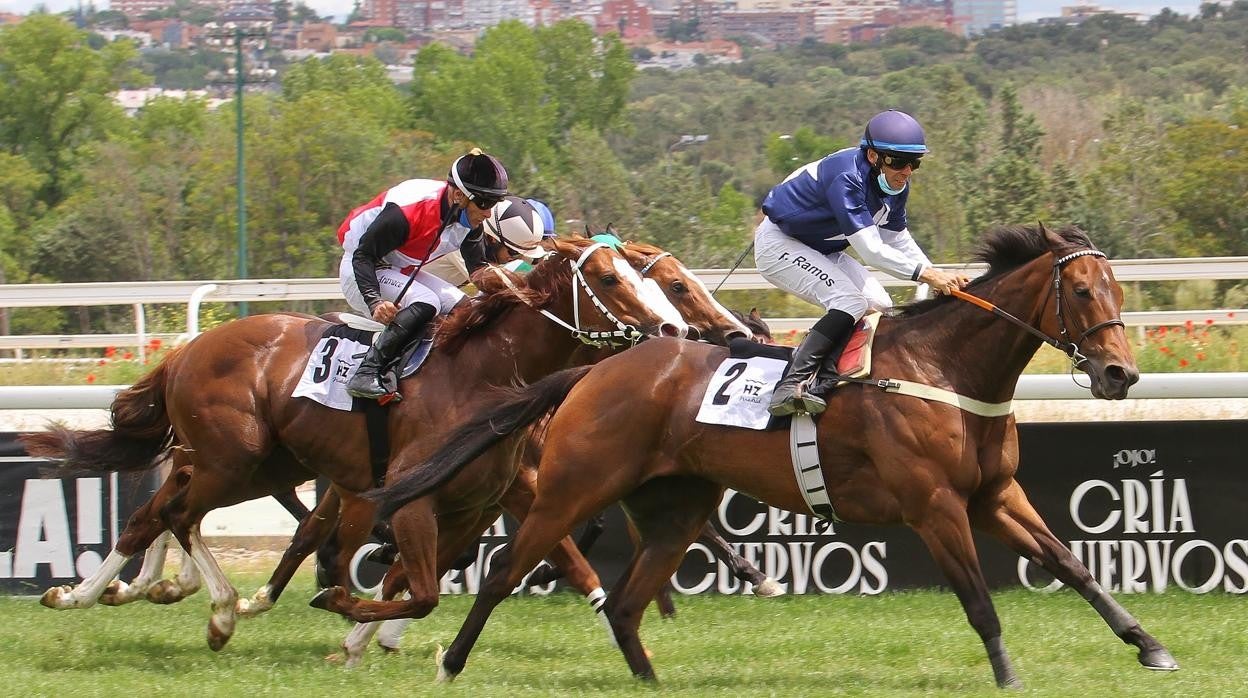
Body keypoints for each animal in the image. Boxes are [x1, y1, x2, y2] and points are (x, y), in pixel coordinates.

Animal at [19, 237, 688, 654]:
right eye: (609, 278)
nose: (671, 330)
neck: (485, 372)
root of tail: (188, 349)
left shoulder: (479, 503)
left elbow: (424, 580)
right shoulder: (415, 499)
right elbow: (417, 590)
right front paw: (342, 612)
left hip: (259, 465)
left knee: (156, 512)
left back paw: (92, 592)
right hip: (231, 460)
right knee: (178, 514)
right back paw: (218, 608)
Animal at [364, 224, 1173, 689]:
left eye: (1116, 287)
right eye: (1080, 289)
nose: (1119, 375)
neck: (945, 368)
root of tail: (594, 370)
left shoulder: (994, 494)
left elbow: (1071, 565)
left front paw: (1149, 646)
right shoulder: (936, 506)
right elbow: (977, 598)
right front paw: (1008, 677)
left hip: (676, 507)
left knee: (625, 603)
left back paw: (649, 680)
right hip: (572, 485)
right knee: (508, 569)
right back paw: (450, 661)